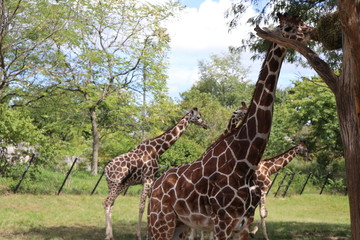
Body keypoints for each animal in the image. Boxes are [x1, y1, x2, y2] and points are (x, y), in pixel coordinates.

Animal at [102, 107, 208, 240]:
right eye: (198, 117)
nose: (206, 125)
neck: (156, 150)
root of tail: (106, 169)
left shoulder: (150, 179)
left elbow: (149, 204)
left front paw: (148, 233)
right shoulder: (148, 178)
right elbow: (142, 207)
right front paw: (139, 235)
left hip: (113, 186)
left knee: (110, 204)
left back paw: (110, 234)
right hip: (117, 185)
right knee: (107, 203)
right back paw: (108, 236)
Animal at [146, 12, 316, 240]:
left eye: (302, 21)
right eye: (288, 27)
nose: (311, 31)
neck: (246, 162)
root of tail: (156, 186)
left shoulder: (242, 225)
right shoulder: (222, 224)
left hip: (179, 225)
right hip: (161, 222)